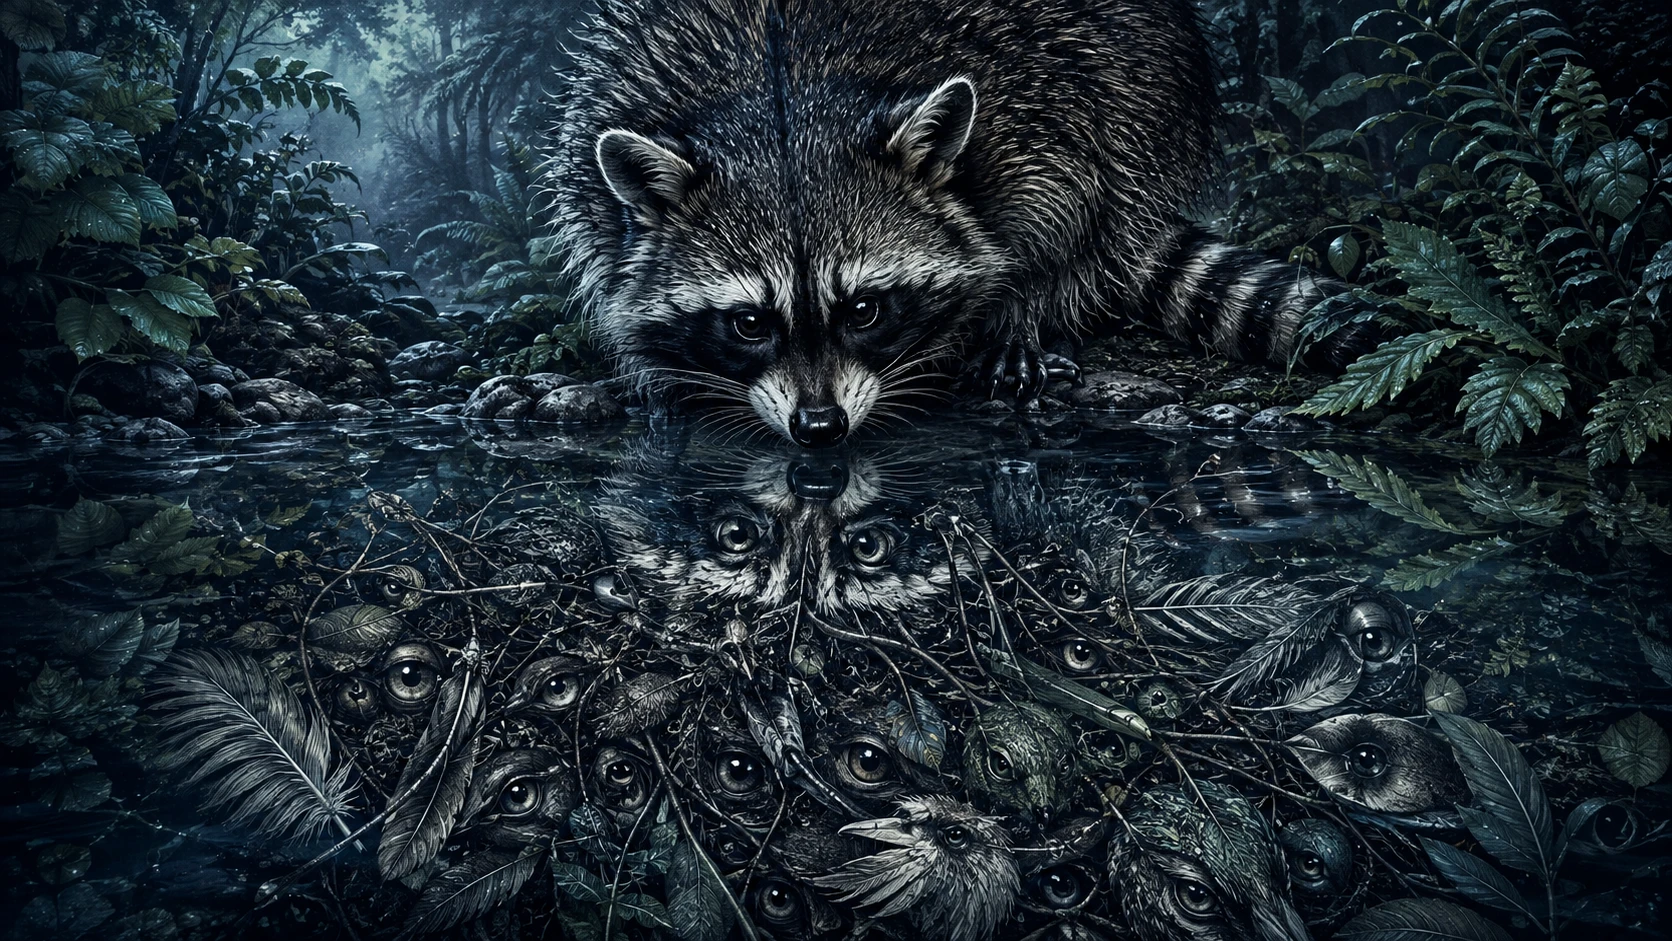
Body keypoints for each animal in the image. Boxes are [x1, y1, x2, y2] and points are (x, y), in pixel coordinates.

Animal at [550, 0, 1364, 447]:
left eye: (864, 309)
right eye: (750, 322)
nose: (821, 429)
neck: (787, 101)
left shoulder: (1038, 104)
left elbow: (1062, 205)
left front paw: (1019, 302)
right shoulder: (615, 109)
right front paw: (661, 369)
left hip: (1155, 93)